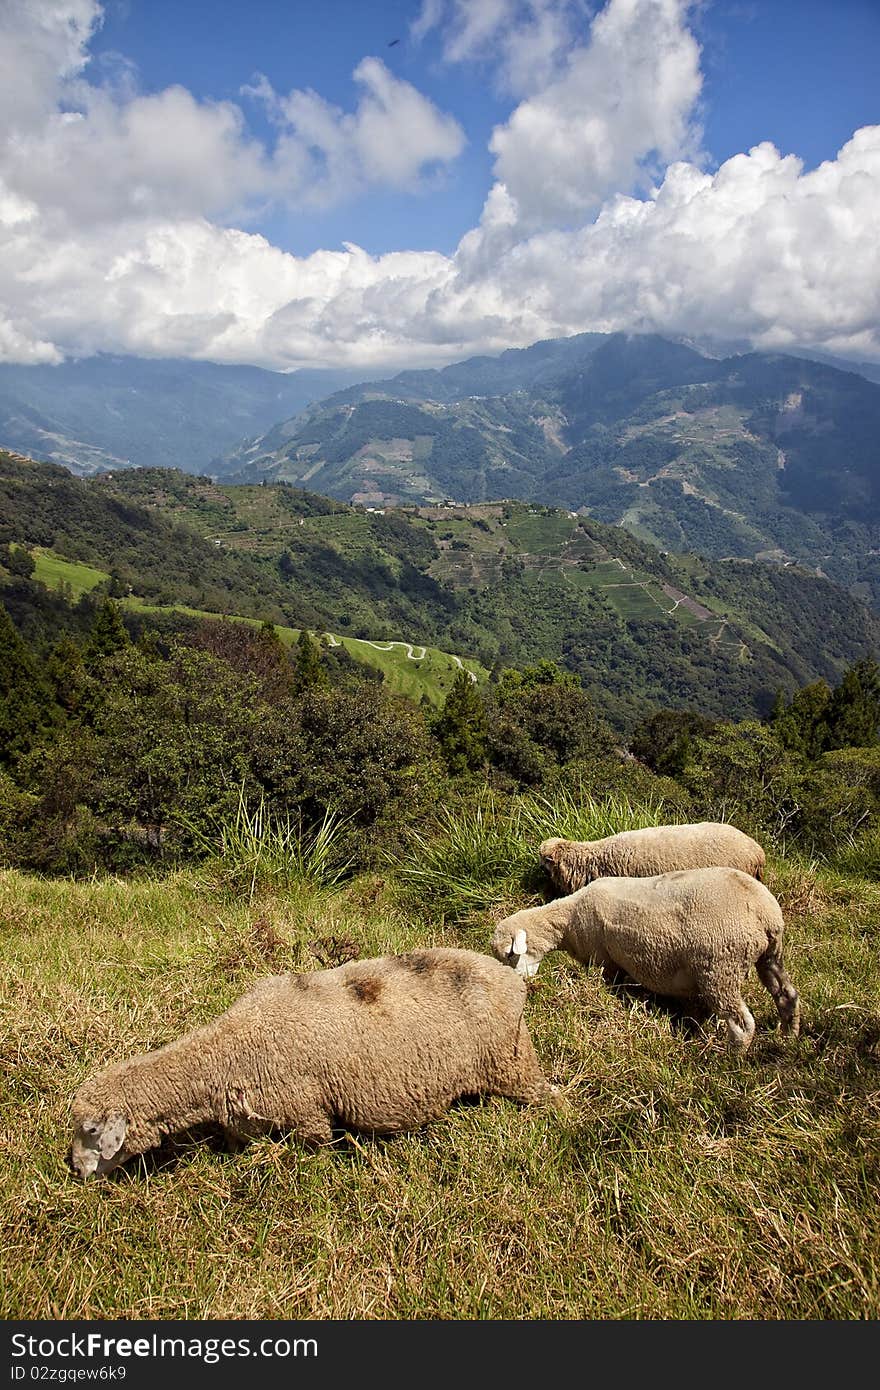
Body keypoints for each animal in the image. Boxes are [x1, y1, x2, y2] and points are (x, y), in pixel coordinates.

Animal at [70, 939, 550, 1178]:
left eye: (91, 1131)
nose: (74, 1169)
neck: (228, 1051)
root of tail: (510, 979)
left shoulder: (308, 1113)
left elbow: (316, 1151)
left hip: (512, 1061)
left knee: (546, 1097)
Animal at [492, 867, 800, 1050]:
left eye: (510, 954)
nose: (516, 986)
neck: (569, 920)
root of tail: (764, 911)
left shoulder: (604, 961)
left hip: (720, 965)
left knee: (742, 1025)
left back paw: (730, 1059)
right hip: (770, 955)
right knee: (787, 995)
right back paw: (789, 1038)